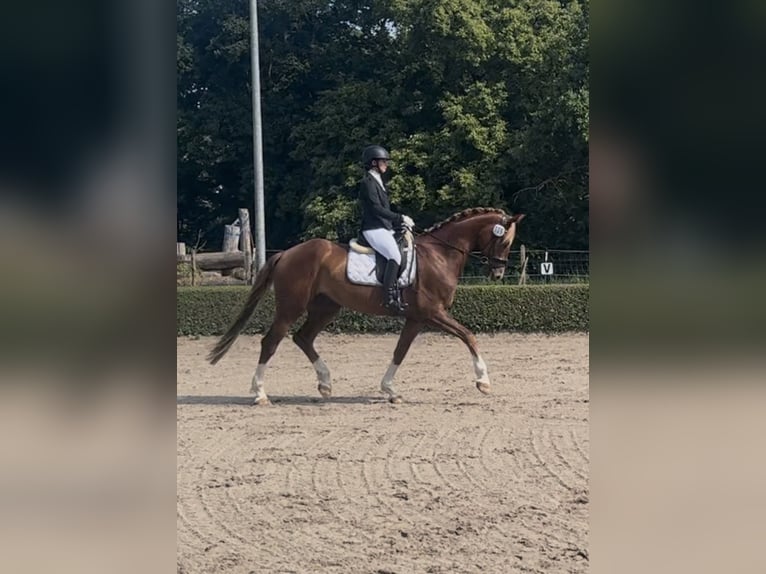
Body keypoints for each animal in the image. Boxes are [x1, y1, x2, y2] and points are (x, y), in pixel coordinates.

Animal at [208, 207, 525, 404]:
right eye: (504, 242)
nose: (498, 273)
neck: (440, 255)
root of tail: (286, 253)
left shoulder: (417, 318)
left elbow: (400, 351)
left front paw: (390, 391)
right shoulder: (433, 313)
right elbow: (468, 336)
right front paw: (483, 381)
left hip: (326, 307)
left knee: (303, 337)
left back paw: (325, 383)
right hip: (291, 307)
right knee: (271, 341)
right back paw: (260, 393)